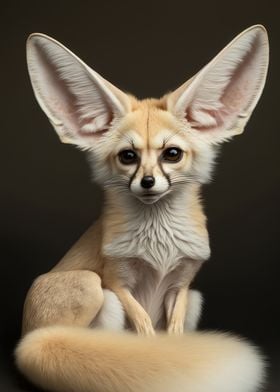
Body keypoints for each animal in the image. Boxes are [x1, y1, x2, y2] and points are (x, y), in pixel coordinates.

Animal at [15, 25, 270, 392]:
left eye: (172, 154)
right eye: (128, 156)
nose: (147, 182)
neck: (159, 248)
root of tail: (26, 341)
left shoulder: (182, 284)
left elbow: (171, 333)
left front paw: (171, 357)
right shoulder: (118, 281)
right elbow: (144, 327)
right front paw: (152, 355)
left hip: (196, 299)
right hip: (93, 288)